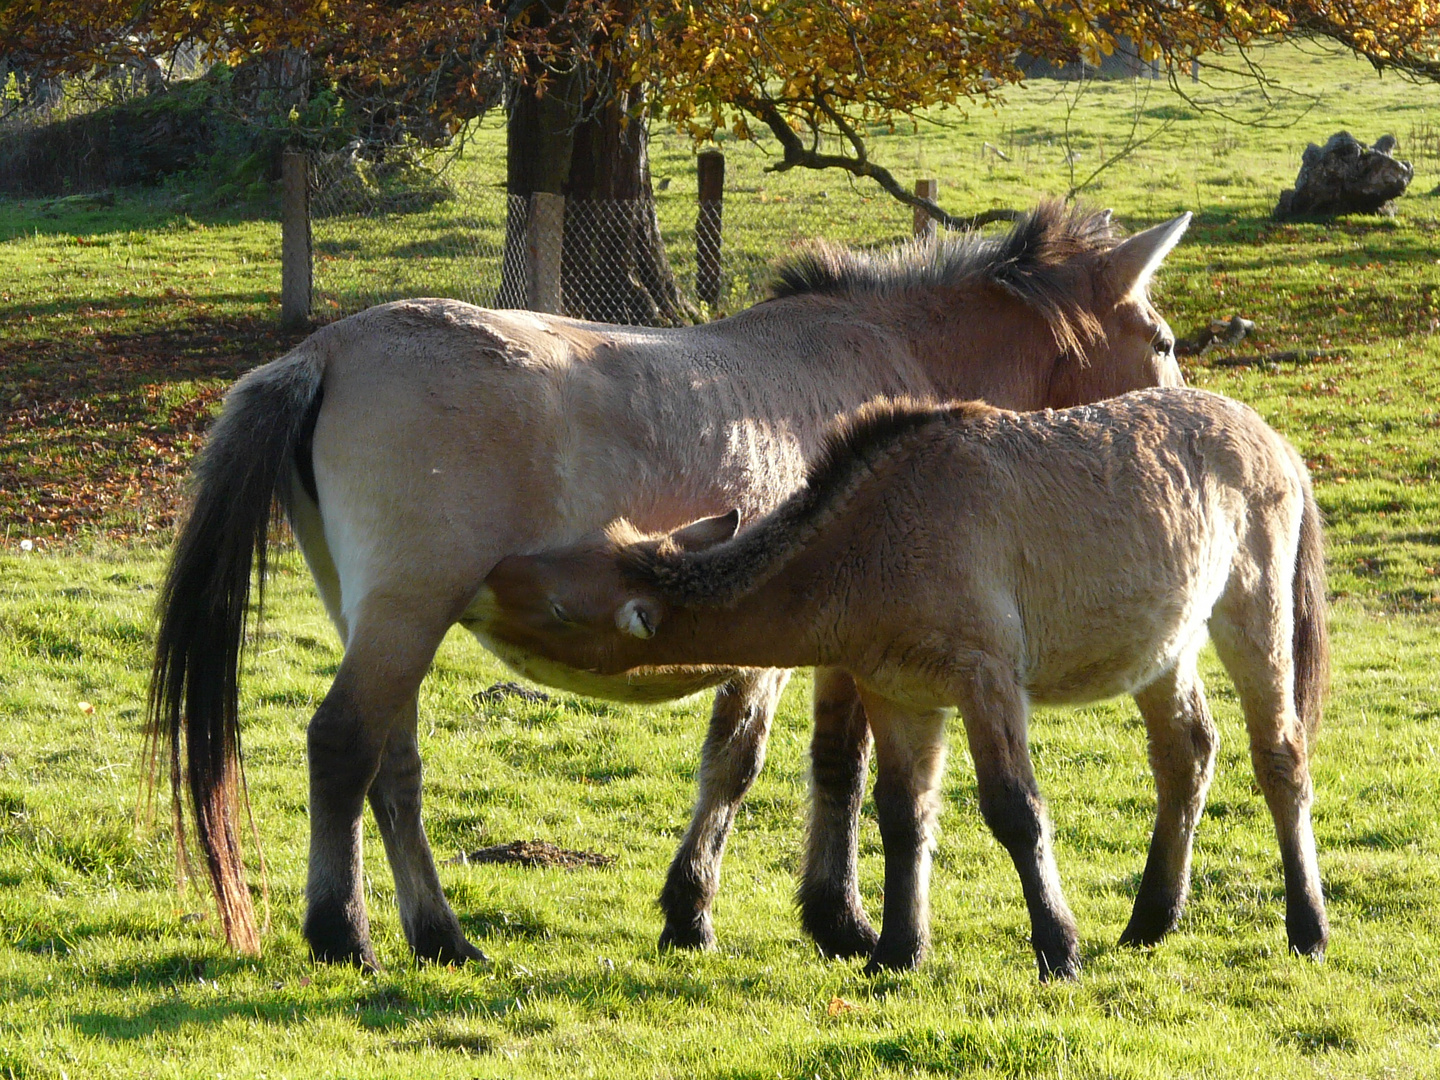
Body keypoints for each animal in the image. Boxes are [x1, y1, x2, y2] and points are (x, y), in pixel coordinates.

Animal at [149, 201, 1192, 961]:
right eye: (1164, 339)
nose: (1189, 426)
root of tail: (323, 352)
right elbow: (755, 765)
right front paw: (726, 915)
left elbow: (831, 767)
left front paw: (828, 916)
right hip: (405, 617)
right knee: (342, 746)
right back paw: (344, 936)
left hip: (379, 621)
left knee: (391, 769)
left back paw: (441, 936)